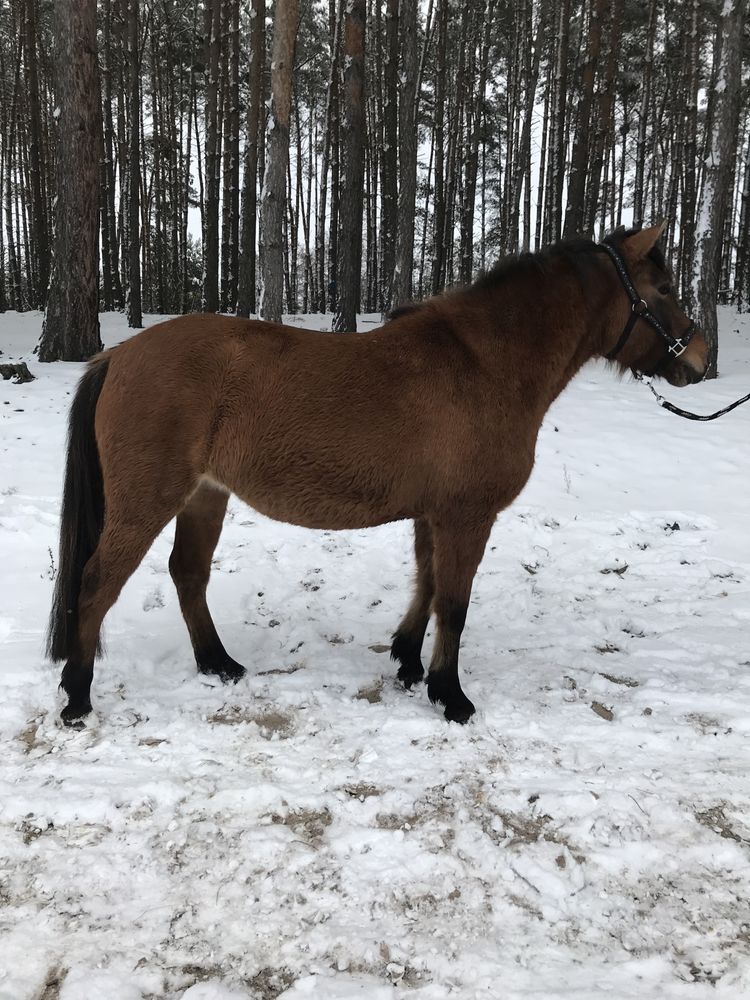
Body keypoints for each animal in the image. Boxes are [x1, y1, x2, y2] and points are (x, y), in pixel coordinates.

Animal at [48, 225, 712, 728]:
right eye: (664, 286)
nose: (702, 360)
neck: (484, 364)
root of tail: (117, 355)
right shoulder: (467, 516)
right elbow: (454, 601)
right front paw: (451, 694)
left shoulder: (434, 512)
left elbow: (426, 582)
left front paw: (408, 662)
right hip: (147, 501)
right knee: (96, 584)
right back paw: (77, 698)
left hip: (205, 496)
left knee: (187, 574)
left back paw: (218, 664)